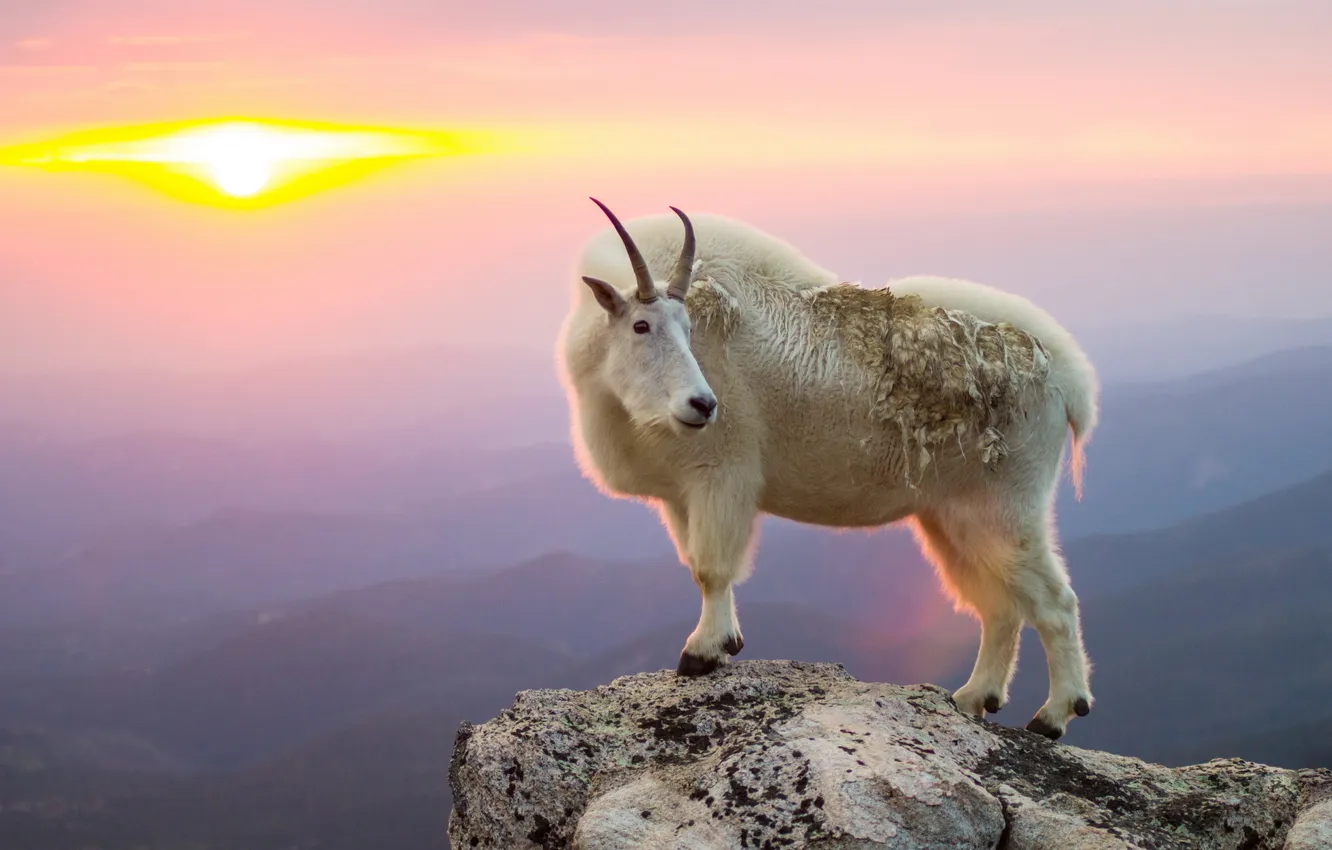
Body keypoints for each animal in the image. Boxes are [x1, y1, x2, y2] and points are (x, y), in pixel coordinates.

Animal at [556, 198, 1099, 739]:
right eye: (641, 326)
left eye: (689, 329)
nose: (703, 405)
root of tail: (1070, 381)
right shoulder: (680, 493)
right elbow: (696, 565)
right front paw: (726, 643)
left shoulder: (721, 473)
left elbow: (712, 569)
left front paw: (702, 653)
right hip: (952, 516)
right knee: (999, 605)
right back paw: (974, 697)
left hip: (1008, 503)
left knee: (1056, 600)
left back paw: (1054, 714)